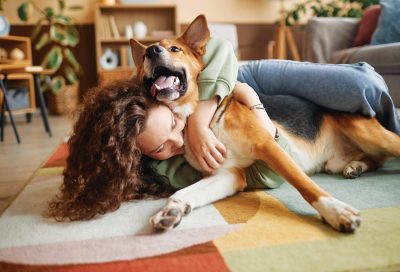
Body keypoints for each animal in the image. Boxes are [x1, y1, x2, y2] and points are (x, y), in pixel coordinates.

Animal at [130, 14, 400, 233]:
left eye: (175, 48)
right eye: (143, 56)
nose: (152, 51)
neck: (199, 119)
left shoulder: (267, 145)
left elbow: (305, 185)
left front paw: (335, 211)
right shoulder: (227, 174)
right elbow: (183, 192)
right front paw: (171, 210)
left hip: (368, 132)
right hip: (339, 159)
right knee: (375, 159)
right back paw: (356, 166)